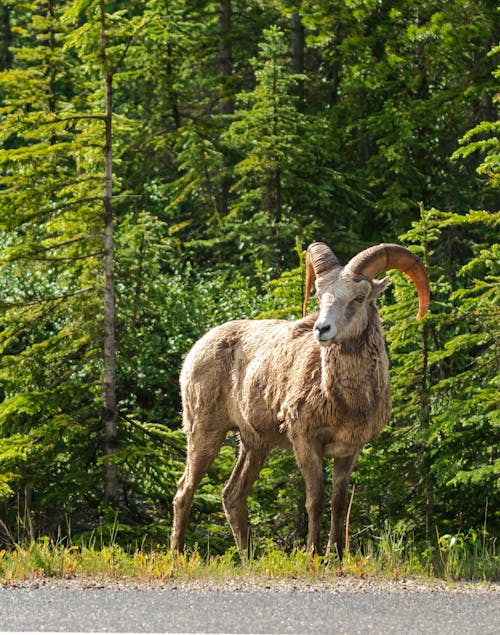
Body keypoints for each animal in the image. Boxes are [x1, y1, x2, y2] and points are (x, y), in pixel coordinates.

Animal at [172, 242, 430, 556]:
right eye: (319, 296)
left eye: (359, 297)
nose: (322, 330)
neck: (345, 402)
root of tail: (195, 350)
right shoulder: (306, 443)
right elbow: (315, 501)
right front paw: (312, 554)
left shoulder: (349, 450)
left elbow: (339, 504)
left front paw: (337, 556)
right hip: (205, 433)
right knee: (184, 491)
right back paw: (178, 555)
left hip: (254, 445)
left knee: (232, 497)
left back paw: (249, 558)